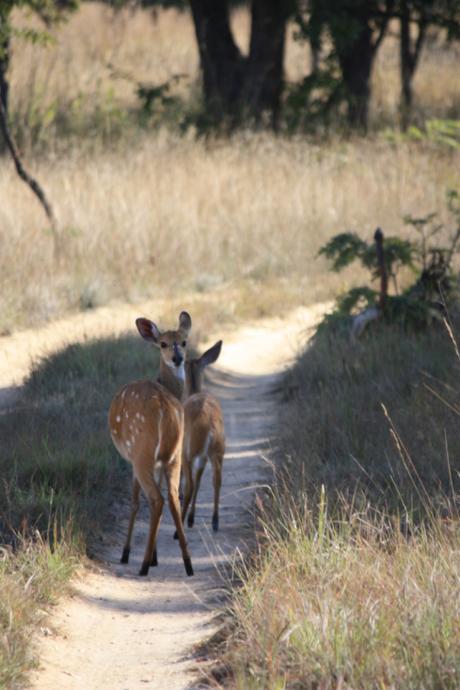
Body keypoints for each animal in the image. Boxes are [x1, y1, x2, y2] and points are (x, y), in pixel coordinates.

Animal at [108, 312, 193, 576]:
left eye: (184, 342)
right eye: (164, 343)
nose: (177, 358)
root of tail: (165, 408)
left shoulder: (132, 459)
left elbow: (135, 502)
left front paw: (127, 553)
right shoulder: (160, 460)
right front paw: (156, 555)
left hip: (141, 451)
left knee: (156, 499)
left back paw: (142, 564)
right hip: (174, 455)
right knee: (174, 496)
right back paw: (187, 563)